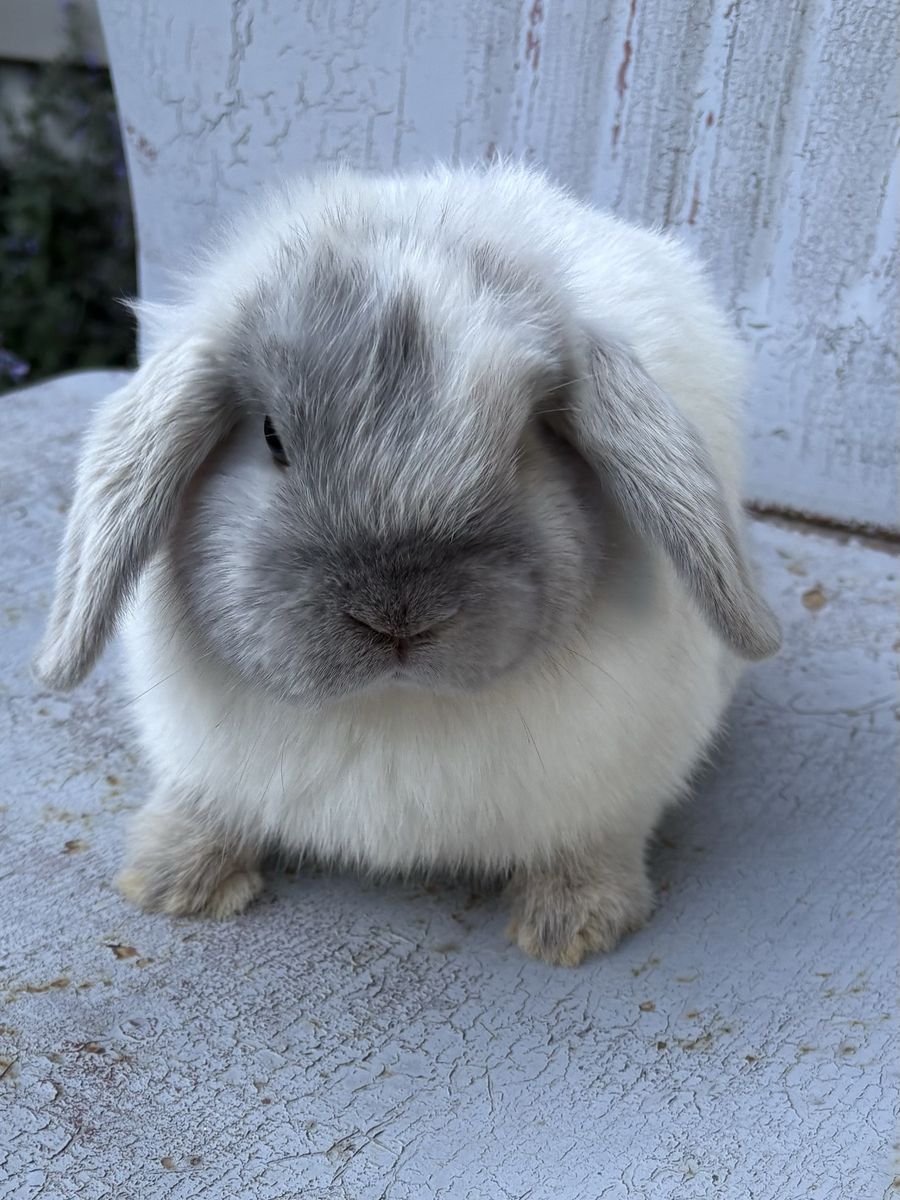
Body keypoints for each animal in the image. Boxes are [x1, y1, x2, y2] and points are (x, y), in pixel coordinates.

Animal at [33, 162, 780, 966]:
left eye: (526, 443)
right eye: (271, 437)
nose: (397, 618)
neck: (395, 705)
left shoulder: (618, 785)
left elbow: (594, 841)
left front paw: (574, 925)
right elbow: (207, 807)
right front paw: (172, 882)